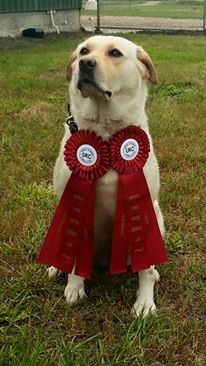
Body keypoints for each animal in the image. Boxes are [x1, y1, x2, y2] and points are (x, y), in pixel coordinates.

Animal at [47, 35, 165, 318]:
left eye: (115, 53)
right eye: (83, 51)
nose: (85, 64)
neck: (106, 137)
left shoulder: (144, 207)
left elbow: (145, 271)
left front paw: (145, 303)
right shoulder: (74, 204)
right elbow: (74, 259)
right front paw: (74, 287)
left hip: (158, 219)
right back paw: (57, 267)